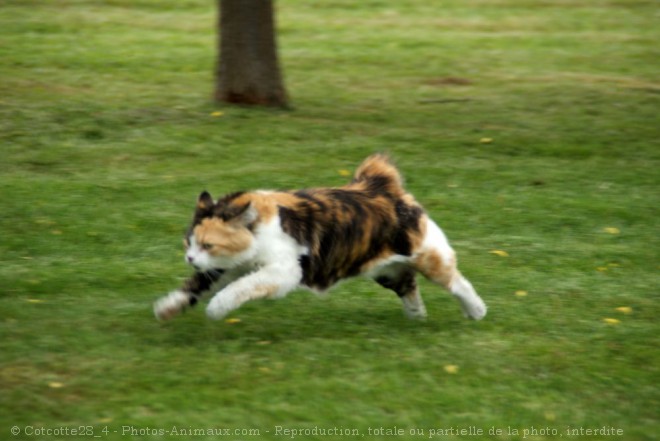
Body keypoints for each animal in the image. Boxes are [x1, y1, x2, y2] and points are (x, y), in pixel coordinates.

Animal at [153, 155, 484, 324]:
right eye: (189, 243)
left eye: (208, 244)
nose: (190, 259)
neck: (257, 232)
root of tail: (382, 187)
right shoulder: (227, 268)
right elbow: (196, 287)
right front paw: (167, 307)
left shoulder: (282, 271)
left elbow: (239, 289)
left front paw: (216, 310)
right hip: (387, 271)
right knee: (409, 287)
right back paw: (416, 317)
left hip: (428, 256)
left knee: (457, 283)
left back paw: (476, 311)